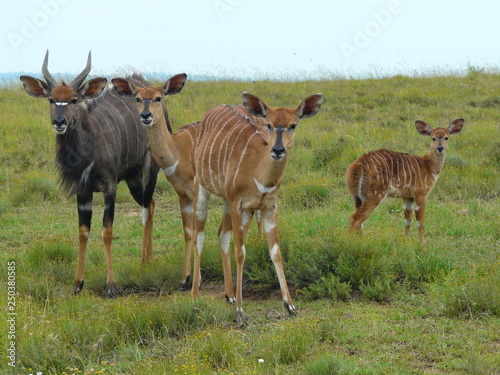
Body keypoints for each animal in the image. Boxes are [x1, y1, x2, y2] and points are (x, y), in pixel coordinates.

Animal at [19, 52, 160, 300]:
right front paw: (77, 284)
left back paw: (144, 262)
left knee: (147, 204)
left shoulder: (109, 188)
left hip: (148, 168)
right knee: (149, 203)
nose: (59, 122)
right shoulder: (83, 191)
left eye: (74, 100)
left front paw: (111, 286)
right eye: (51, 100)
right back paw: (146, 260)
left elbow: (107, 231)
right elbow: (83, 232)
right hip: (133, 177)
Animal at [191, 90, 324, 320]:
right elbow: (240, 252)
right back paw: (195, 295)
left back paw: (229, 295)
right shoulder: (239, 204)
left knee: (221, 232)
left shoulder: (267, 207)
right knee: (199, 235)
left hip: (227, 200)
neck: (257, 171)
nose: (278, 149)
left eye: (293, 125)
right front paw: (240, 310)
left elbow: (275, 251)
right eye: (269, 124)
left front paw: (290, 306)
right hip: (203, 187)